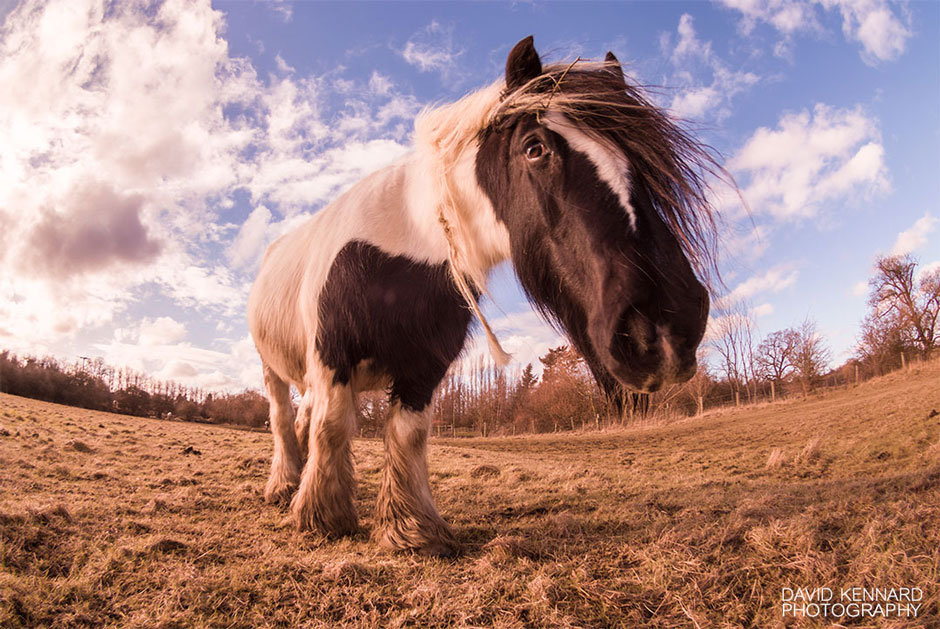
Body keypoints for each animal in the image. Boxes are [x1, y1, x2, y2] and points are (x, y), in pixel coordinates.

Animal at [248, 36, 720, 556]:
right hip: (274, 368)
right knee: (282, 418)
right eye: (535, 148)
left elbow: (407, 435)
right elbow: (331, 426)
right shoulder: (334, 356)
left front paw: (411, 530)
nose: (667, 323)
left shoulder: (425, 369)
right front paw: (322, 518)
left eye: (642, 162)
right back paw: (284, 485)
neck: (402, 253)